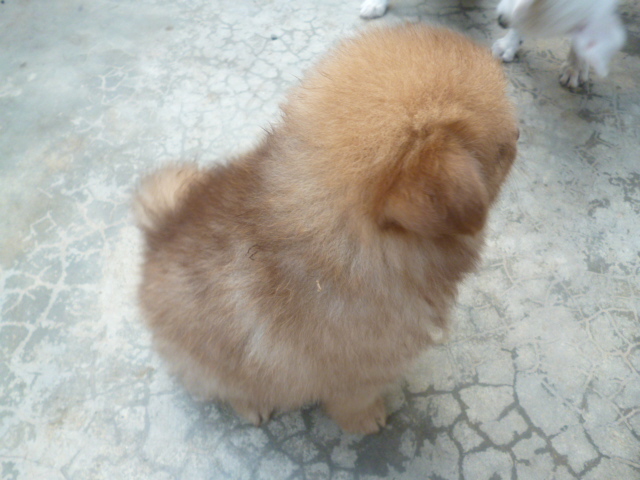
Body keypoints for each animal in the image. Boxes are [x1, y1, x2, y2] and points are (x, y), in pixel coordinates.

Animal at [133, 25, 518, 434]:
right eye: (502, 153)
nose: (520, 133)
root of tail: (159, 232)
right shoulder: (358, 372)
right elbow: (356, 401)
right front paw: (369, 419)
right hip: (207, 366)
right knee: (222, 387)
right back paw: (252, 405)